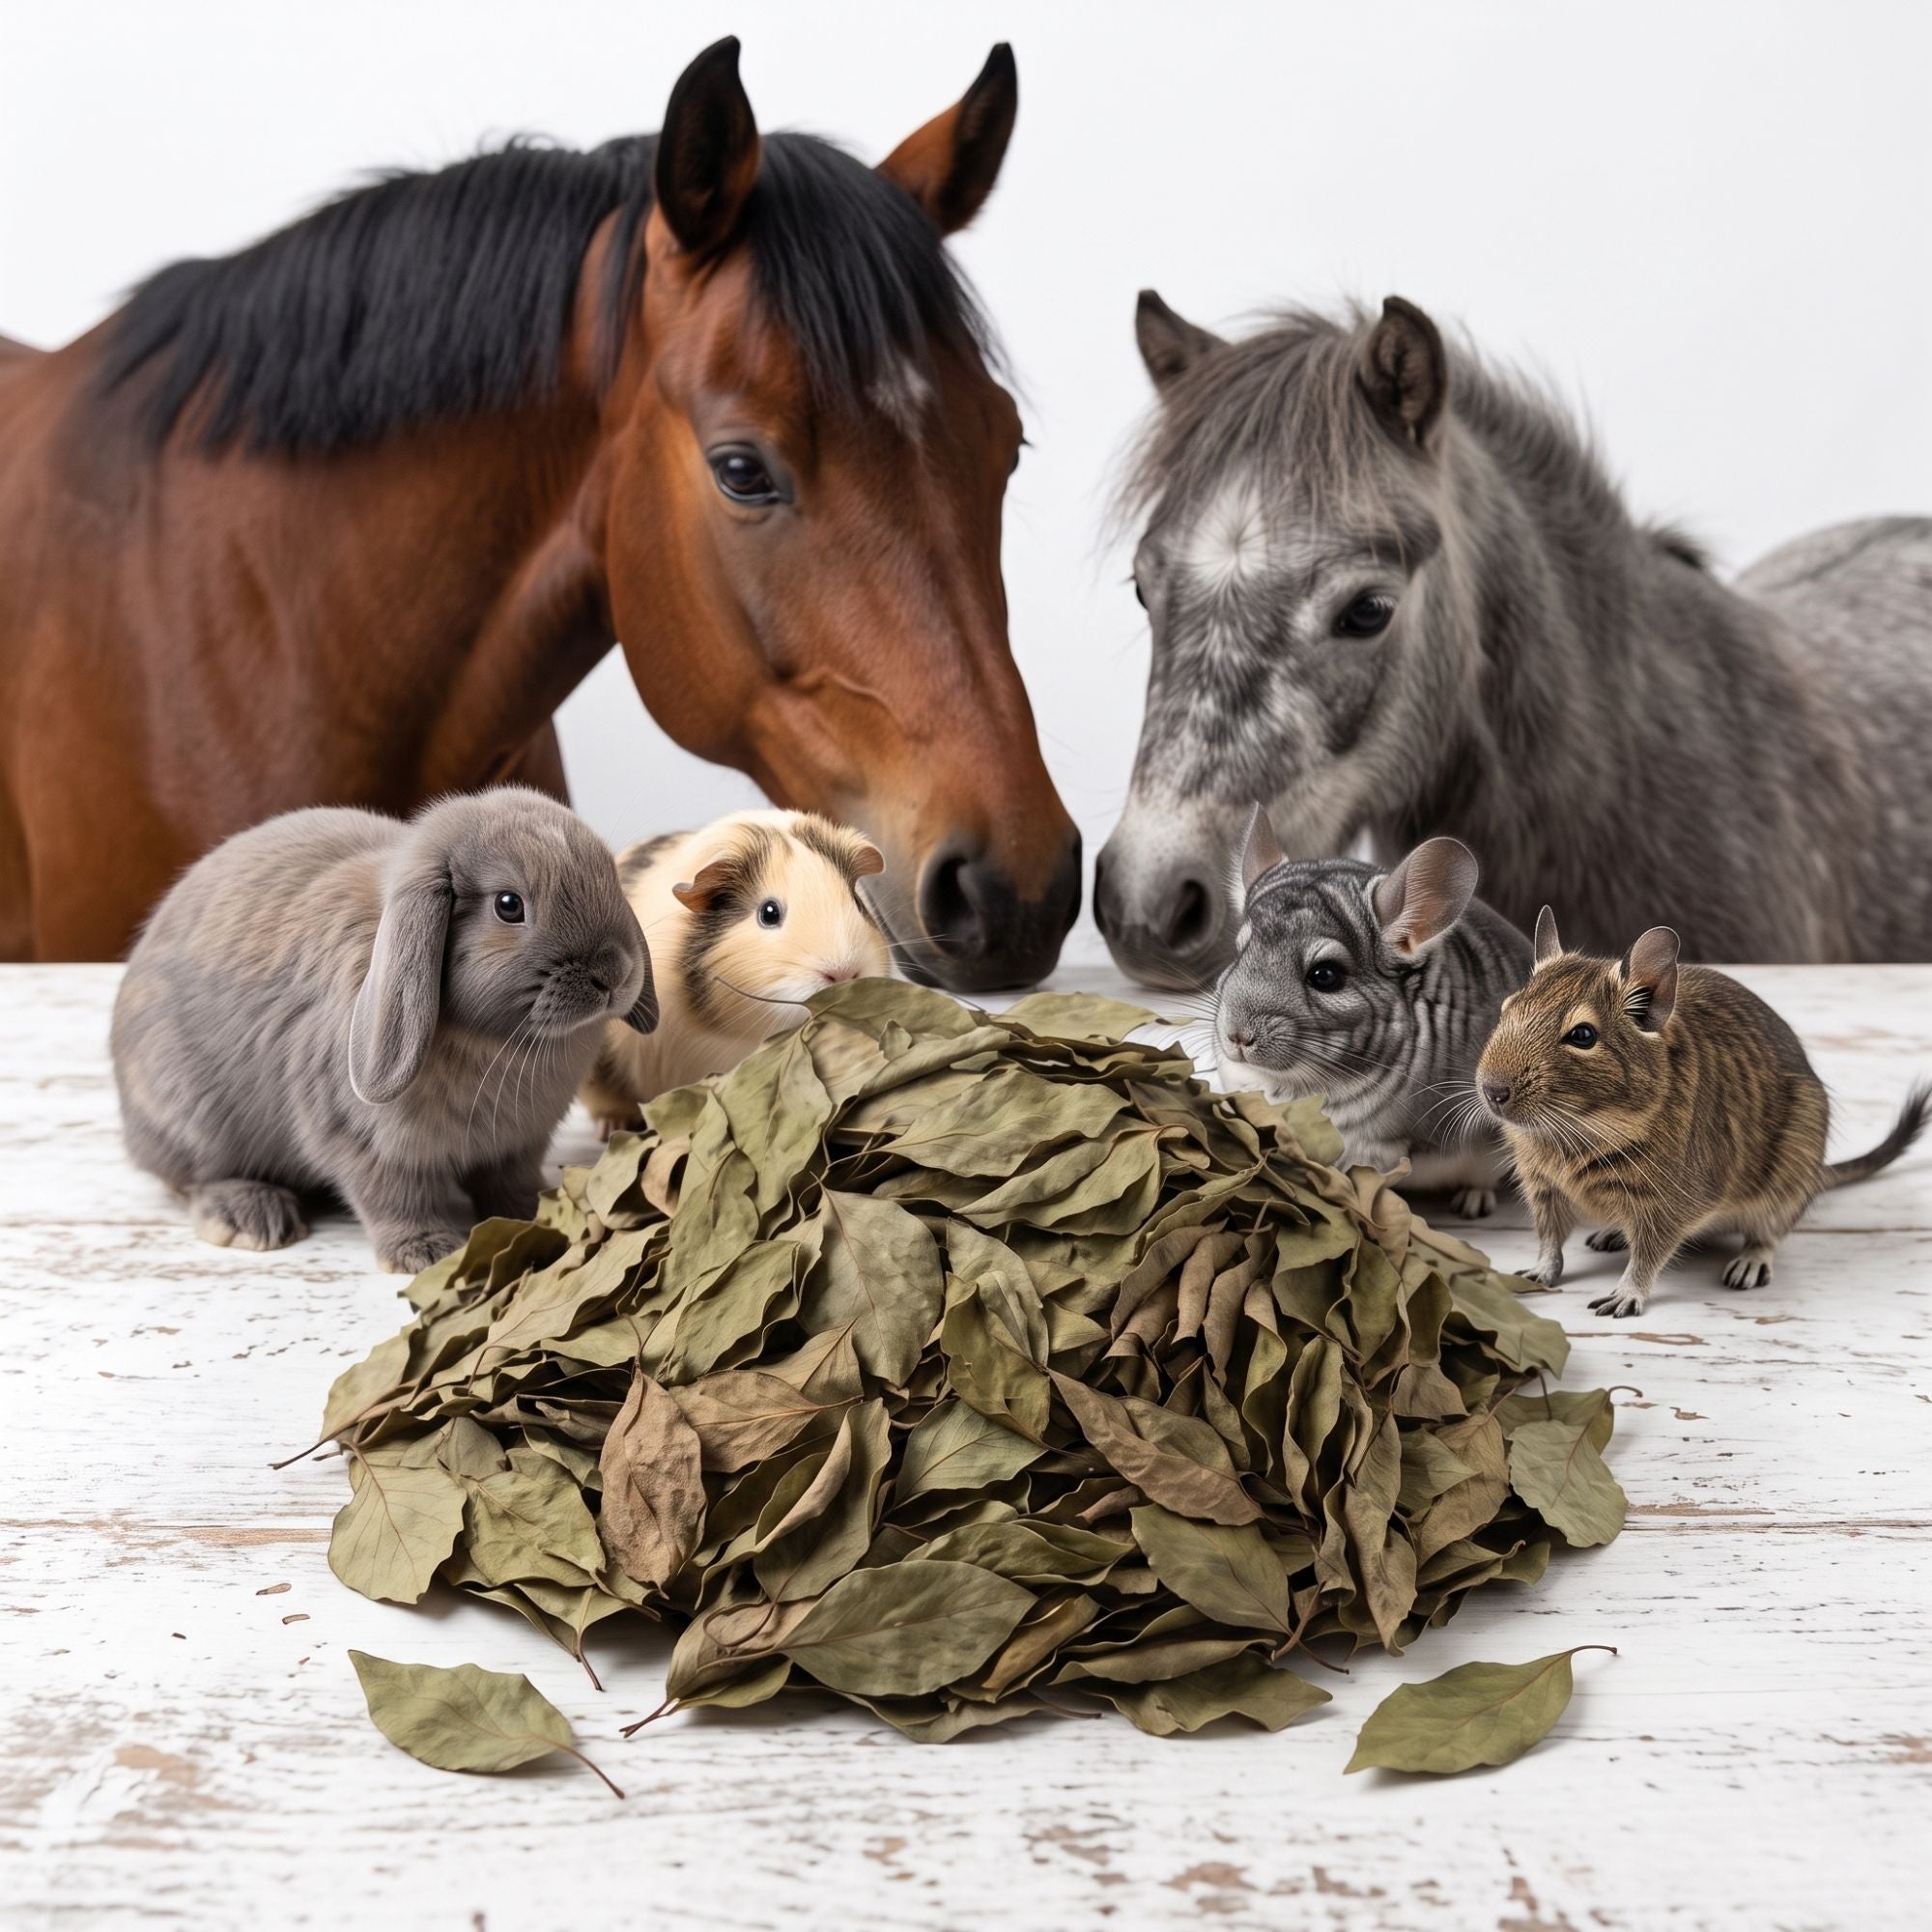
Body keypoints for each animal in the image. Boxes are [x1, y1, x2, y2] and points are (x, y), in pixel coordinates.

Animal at [111, 787, 656, 1273]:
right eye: (508, 904)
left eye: (609, 878)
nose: (614, 973)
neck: (494, 1042)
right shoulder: (368, 1143)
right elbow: (394, 1198)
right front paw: (426, 1253)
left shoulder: (518, 1145)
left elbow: (509, 1183)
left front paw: (539, 1216)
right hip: (191, 1118)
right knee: (194, 1179)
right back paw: (250, 1217)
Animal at [1212, 807, 1533, 1216]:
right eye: (1239, 953)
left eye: (1325, 975)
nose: (1238, 1036)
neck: (1295, 1083)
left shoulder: (1381, 1147)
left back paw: (1472, 1203)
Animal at [1475, 909, 1929, 1317]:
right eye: (1506, 1008)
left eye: (1583, 1035)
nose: (1492, 1092)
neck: (1577, 1131)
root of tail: (1818, 1174)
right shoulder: (1543, 1188)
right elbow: (1549, 1240)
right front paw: (1537, 1273)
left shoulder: (1668, 1204)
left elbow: (1647, 1258)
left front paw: (1624, 1297)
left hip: (1787, 1182)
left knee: (1769, 1234)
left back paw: (1749, 1264)